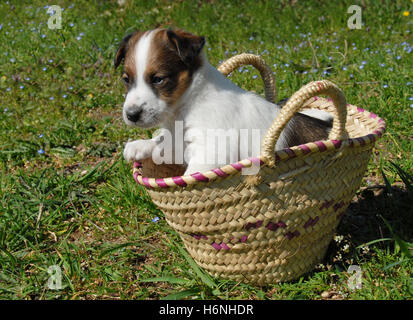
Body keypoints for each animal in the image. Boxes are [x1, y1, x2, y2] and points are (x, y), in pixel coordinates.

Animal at [112, 28, 332, 175]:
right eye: (126, 79)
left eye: (158, 79)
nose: (131, 115)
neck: (188, 104)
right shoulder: (182, 143)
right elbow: (163, 141)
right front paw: (139, 145)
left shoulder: (210, 151)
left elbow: (191, 173)